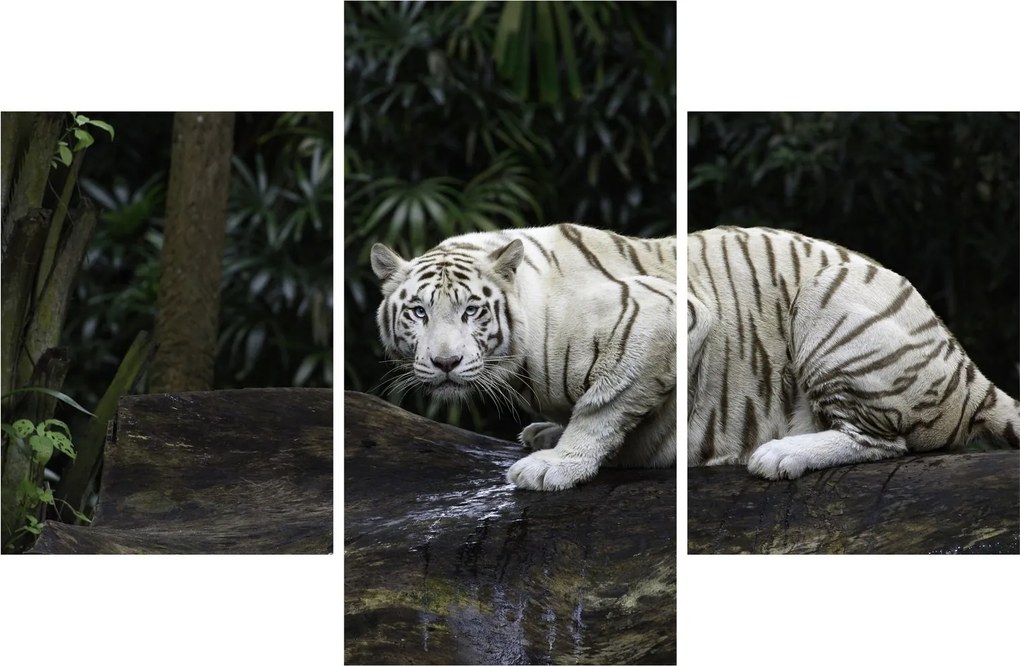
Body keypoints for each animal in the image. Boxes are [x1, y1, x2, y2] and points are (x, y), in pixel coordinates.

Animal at [371, 223, 677, 491]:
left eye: (471, 310)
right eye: (419, 312)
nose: (446, 362)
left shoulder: (658, 315)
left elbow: (602, 408)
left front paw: (554, 466)